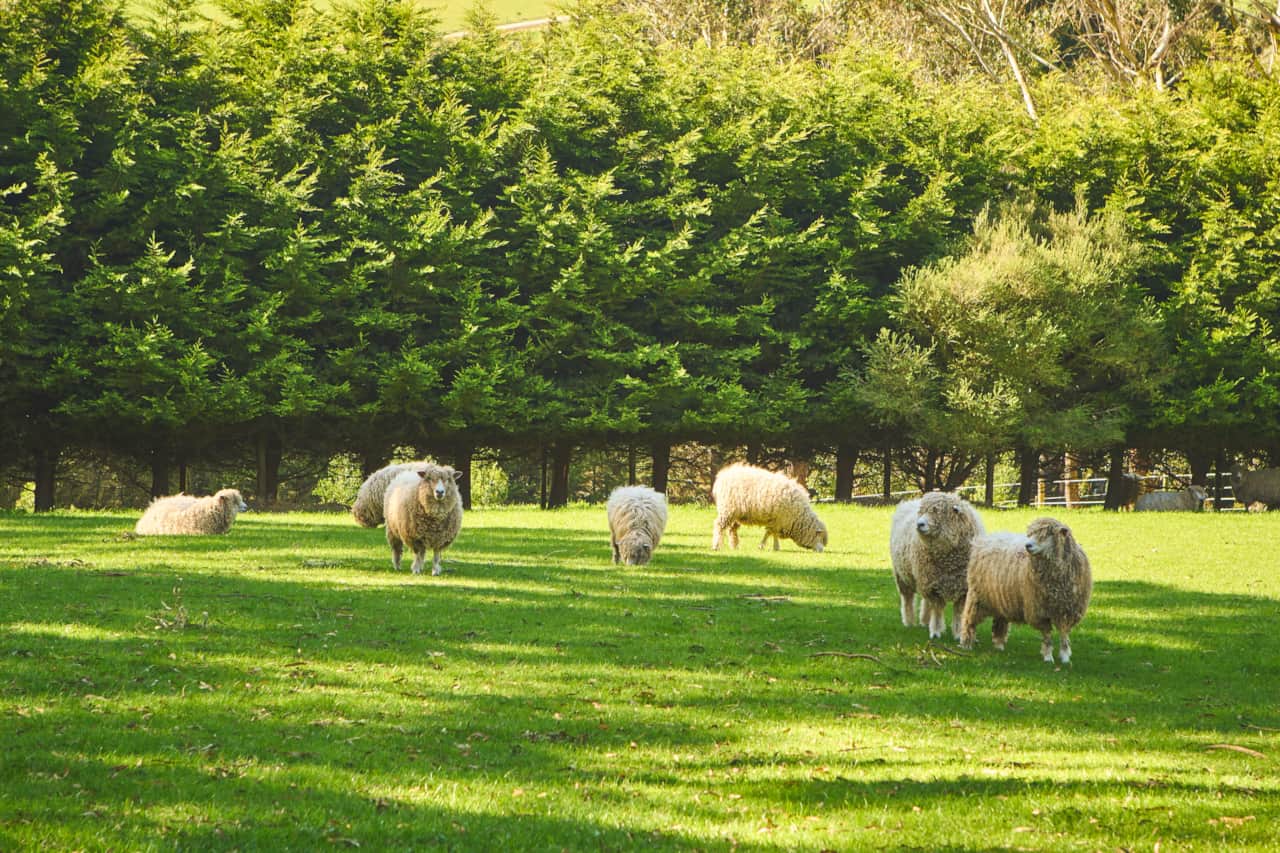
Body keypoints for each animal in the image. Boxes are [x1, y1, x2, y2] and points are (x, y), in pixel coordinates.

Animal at [889, 492, 985, 640]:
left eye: (936, 511)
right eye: (922, 511)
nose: (919, 524)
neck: (949, 562)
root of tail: (910, 501)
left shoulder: (963, 588)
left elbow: (958, 612)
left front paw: (958, 633)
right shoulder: (933, 588)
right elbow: (938, 610)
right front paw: (935, 631)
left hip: (926, 578)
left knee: (925, 601)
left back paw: (924, 620)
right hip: (903, 576)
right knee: (907, 599)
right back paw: (909, 621)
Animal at [959, 517, 1092, 664]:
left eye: (1047, 534)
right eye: (1031, 533)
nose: (1027, 546)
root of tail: (986, 539)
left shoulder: (1067, 610)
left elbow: (1064, 634)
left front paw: (1065, 657)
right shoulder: (1040, 610)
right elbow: (1047, 635)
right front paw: (1048, 657)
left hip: (1000, 599)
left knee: (1000, 620)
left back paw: (999, 645)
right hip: (977, 597)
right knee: (968, 620)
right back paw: (966, 643)